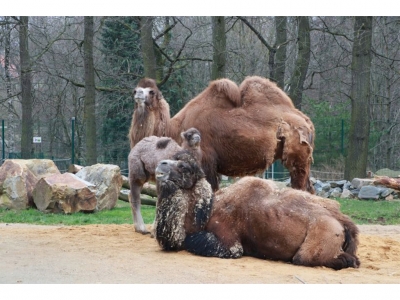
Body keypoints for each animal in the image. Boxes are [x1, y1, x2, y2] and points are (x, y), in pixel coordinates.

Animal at [128, 76, 316, 193]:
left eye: (151, 91)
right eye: (138, 88)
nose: (136, 93)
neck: (176, 129)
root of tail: (307, 121)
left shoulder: (206, 161)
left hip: (298, 155)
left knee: (300, 186)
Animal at [153, 151, 360, 270]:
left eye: (183, 166)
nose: (161, 163)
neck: (206, 212)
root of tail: (343, 222)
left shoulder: (229, 244)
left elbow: (192, 241)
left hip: (320, 237)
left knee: (308, 258)